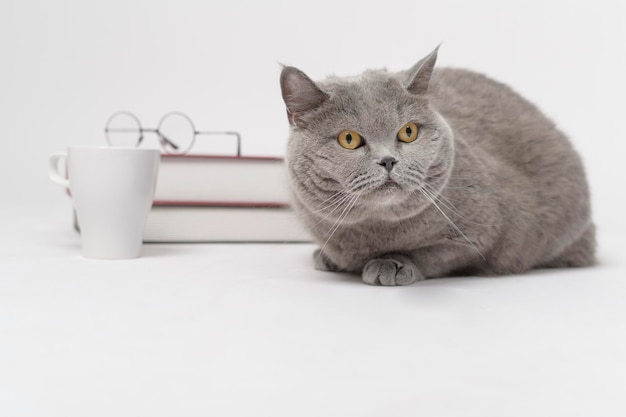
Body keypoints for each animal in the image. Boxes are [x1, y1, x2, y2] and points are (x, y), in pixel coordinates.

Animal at [280, 47, 596, 284]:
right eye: (349, 139)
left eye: (408, 131)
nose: (388, 160)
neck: (372, 231)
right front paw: (328, 256)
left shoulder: (485, 236)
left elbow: (436, 254)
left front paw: (392, 263)